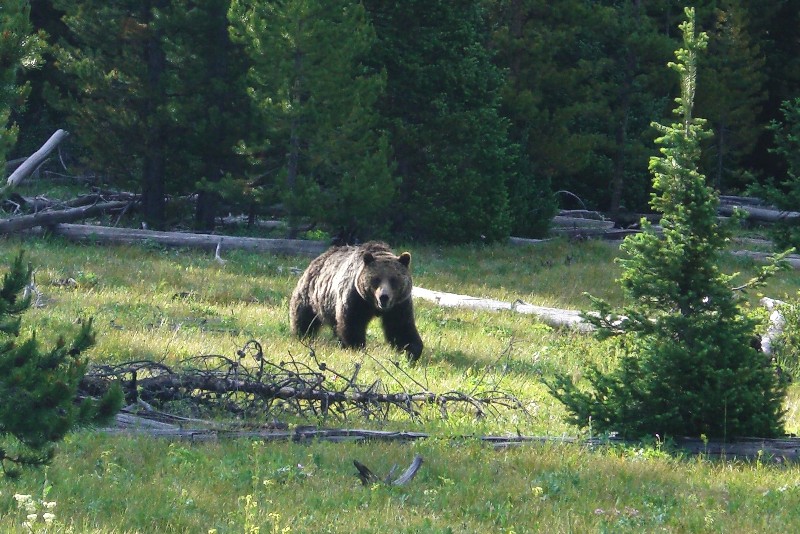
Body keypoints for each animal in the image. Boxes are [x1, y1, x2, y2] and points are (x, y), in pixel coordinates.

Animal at [290, 244, 424, 364]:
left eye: (394, 279)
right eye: (376, 279)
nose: (384, 297)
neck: (372, 305)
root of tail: (319, 258)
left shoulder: (398, 305)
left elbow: (401, 327)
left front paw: (412, 352)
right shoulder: (355, 299)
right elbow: (352, 323)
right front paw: (357, 347)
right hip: (311, 295)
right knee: (304, 319)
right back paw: (302, 336)